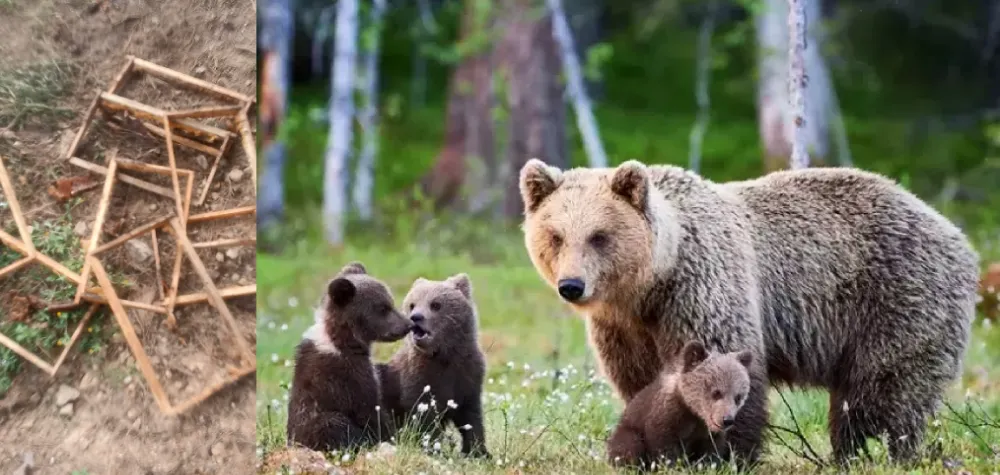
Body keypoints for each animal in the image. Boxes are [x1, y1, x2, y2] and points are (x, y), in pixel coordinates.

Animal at [286, 264, 414, 454]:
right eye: (382, 308)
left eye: (390, 302)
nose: (408, 325)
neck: (342, 341)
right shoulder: (347, 376)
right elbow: (368, 410)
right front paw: (392, 437)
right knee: (333, 424)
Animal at [376, 274, 490, 460]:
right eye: (412, 304)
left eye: (436, 304)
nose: (416, 317)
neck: (445, 356)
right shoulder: (419, 379)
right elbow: (424, 419)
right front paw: (434, 448)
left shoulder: (468, 376)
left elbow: (471, 416)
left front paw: (478, 452)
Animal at [604, 342, 752, 468]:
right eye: (716, 392)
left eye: (738, 397)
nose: (727, 420)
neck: (693, 413)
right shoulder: (665, 418)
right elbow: (664, 447)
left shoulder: (707, 434)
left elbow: (711, 452)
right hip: (627, 431)